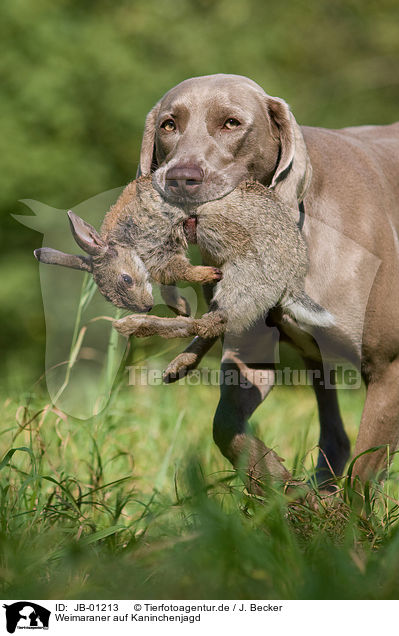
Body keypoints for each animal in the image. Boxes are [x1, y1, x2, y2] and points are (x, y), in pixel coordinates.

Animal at [136, 72, 399, 486]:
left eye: (231, 123)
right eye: (168, 125)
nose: (180, 178)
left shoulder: (390, 370)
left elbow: (362, 478)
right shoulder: (249, 352)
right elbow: (226, 425)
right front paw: (281, 486)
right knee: (335, 436)